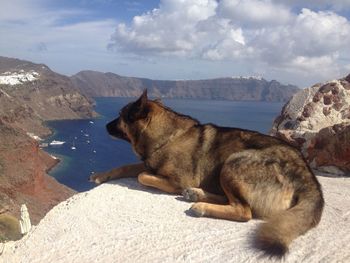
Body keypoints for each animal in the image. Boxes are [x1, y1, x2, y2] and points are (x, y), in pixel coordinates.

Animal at [89, 91, 324, 258]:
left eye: (121, 115)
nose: (105, 125)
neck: (167, 136)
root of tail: (306, 175)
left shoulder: (175, 179)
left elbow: (143, 176)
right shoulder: (148, 163)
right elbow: (125, 167)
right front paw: (100, 175)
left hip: (233, 162)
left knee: (243, 211)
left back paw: (201, 205)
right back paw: (196, 194)